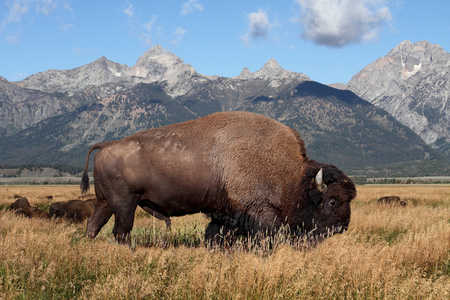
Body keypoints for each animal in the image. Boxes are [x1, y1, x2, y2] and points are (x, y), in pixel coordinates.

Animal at [79, 111, 356, 245]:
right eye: (332, 201)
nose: (343, 227)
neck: (293, 174)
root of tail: (106, 145)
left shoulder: (227, 214)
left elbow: (217, 235)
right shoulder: (262, 213)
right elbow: (264, 238)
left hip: (106, 203)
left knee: (94, 226)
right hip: (125, 204)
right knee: (121, 232)